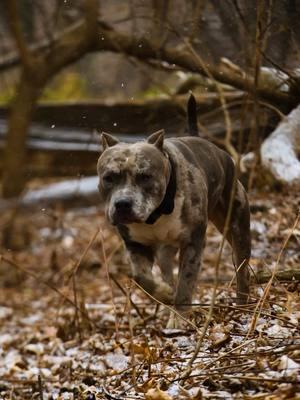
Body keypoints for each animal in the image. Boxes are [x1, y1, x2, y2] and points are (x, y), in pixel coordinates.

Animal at [98, 95, 251, 326]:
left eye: (145, 176)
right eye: (109, 178)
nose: (123, 203)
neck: (155, 215)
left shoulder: (193, 243)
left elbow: (185, 282)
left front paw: (179, 318)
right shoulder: (136, 245)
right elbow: (142, 278)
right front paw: (164, 293)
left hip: (236, 224)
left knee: (241, 265)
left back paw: (243, 305)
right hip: (165, 252)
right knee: (167, 271)